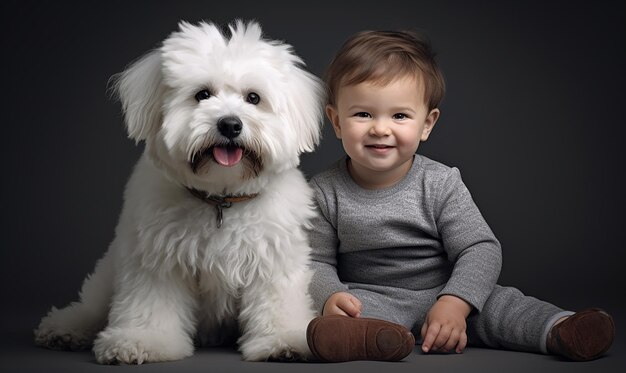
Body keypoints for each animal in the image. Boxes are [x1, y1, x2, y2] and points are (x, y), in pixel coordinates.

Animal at [34, 20, 322, 364]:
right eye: (202, 95)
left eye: (253, 98)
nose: (230, 124)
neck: (220, 200)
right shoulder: (157, 259)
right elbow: (151, 303)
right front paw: (142, 340)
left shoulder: (273, 258)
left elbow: (277, 301)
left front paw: (286, 339)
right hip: (108, 272)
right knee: (91, 306)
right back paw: (65, 327)